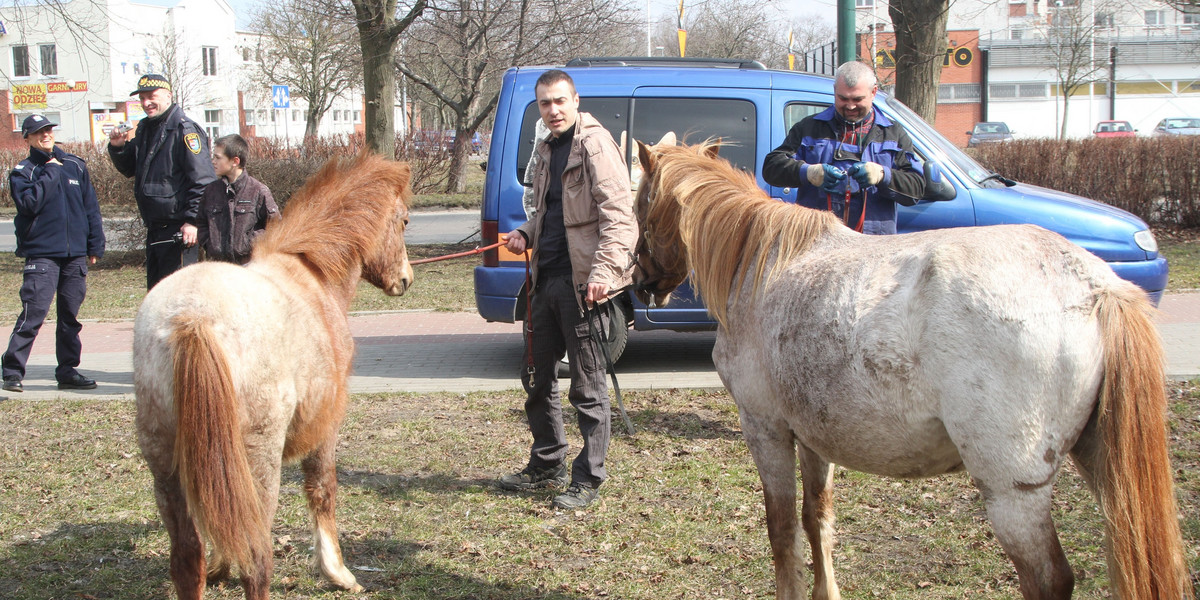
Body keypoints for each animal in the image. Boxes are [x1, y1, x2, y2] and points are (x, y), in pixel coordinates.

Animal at [133, 152, 415, 597]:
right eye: (403, 220)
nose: (405, 279)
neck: (309, 270)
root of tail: (193, 316)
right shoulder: (326, 423)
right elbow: (322, 488)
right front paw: (338, 572)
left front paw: (221, 566)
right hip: (258, 462)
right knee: (257, 558)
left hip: (165, 463)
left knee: (187, 556)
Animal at [633, 139, 1195, 600]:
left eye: (640, 205)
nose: (640, 281)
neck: (763, 263)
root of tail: (1095, 287)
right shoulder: (814, 437)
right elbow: (818, 521)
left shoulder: (766, 429)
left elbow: (782, 531)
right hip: (1105, 468)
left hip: (1013, 491)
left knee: (1048, 579)